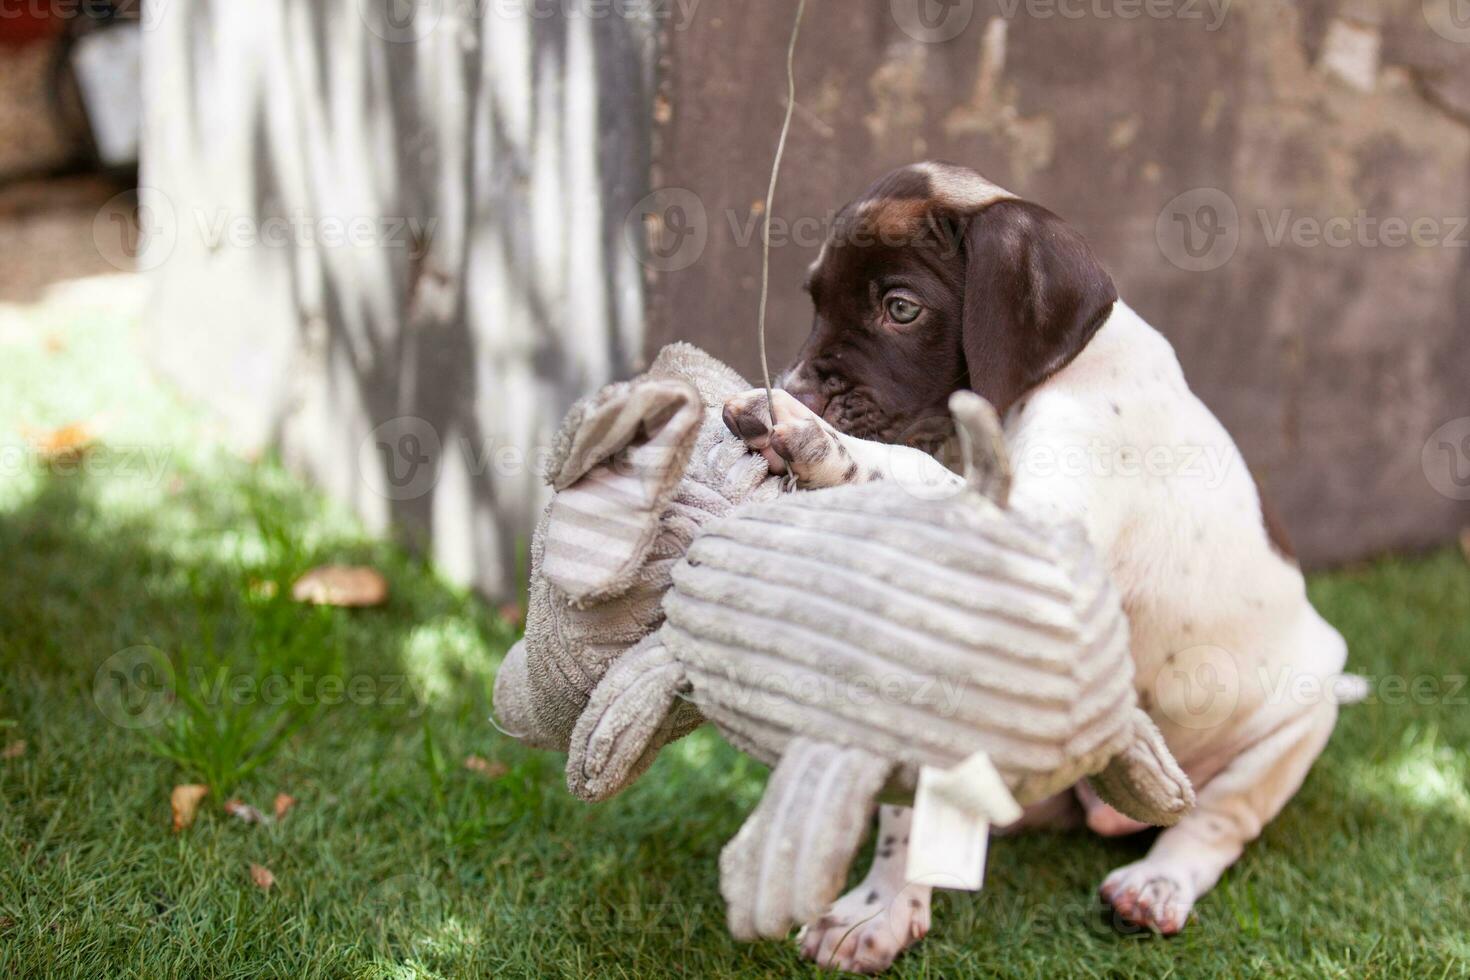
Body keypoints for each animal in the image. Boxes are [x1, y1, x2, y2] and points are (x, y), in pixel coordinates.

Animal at [717, 160, 1346, 975]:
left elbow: (912, 469)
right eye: (816, 300)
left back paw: (1156, 885)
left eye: (900, 308)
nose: (798, 387)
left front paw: (808, 436)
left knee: (1216, 823)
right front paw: (880, 908)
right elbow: (901, 808)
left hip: (1294, 724)